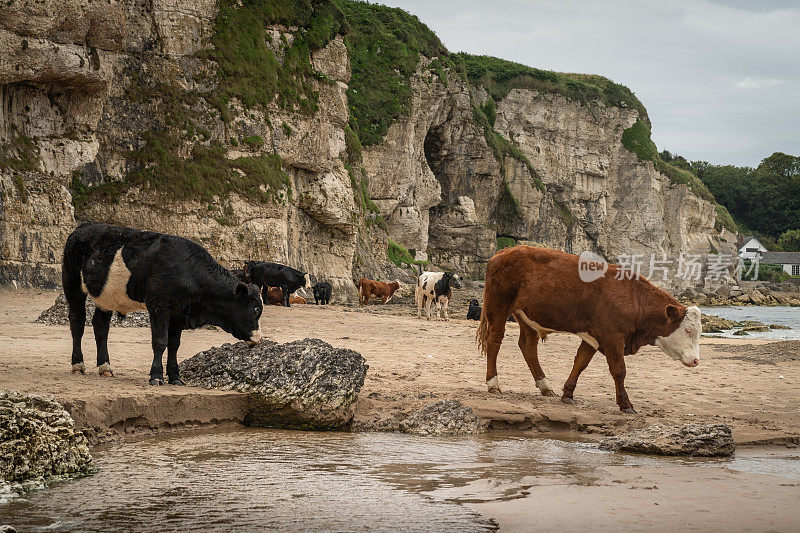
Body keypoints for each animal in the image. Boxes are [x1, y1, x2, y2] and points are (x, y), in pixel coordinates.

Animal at [63, 222, 262, 384]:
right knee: (77, 322)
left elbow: (174, 345)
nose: (259, 338)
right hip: (72, 284)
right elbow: (160, 341)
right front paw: (157, 376)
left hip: (106, 297)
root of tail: (85, 226)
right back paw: (78, 365)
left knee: (101, 327)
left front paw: (175, 377)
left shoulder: (178, 313)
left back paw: (105, 367)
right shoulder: (160, 307)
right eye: (255, 310)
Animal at [476, 243, 700, 414]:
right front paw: (625, 404)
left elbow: (580, 363)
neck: (632, 298)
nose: (696, 361)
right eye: (688, 330)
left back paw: (545, 386)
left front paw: (567, 393)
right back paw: (493, 384)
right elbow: (619, 371)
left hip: (525, 314)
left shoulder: (594, 337)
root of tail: (504, 251)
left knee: (528, 345)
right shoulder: (612, 337)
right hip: (499, 306)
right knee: (494, 340)